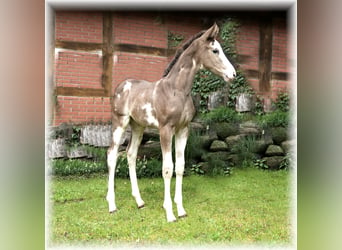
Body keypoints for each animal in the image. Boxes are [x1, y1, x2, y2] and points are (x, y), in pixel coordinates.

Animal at [106, 23, 235, 223]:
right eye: (215, 50)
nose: (233, 74)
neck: (177, 90)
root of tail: (121, 86)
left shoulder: (183, 129)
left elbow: (180, 167)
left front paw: (181, 210)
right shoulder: (165, 129)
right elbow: (167, 168)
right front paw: (169, 213)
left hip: (138, 126)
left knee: (130, 154)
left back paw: (139, 201)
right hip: (120, 122)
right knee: (112, 155)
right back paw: (112, 205)